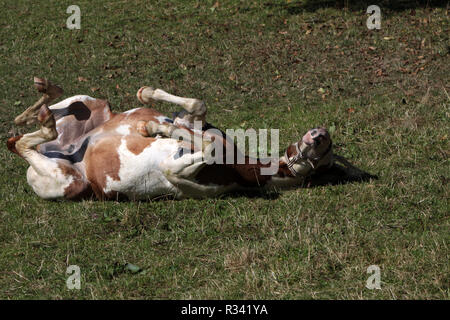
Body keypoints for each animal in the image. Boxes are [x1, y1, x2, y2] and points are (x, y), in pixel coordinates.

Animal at [8, 77, 336, 200]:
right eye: (327, 146)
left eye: (326, 155)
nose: (319, 134)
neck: (243, 167)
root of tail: (64, 149)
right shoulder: (190, 122)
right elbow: (197, 107)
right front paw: (149, 101)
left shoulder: (176, 173)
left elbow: (205, 147)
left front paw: (155, 128)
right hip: (90, 104)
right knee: (24, 125)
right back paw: (43, 97)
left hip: (69, 181)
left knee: (20, 143)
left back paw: (44, 121)